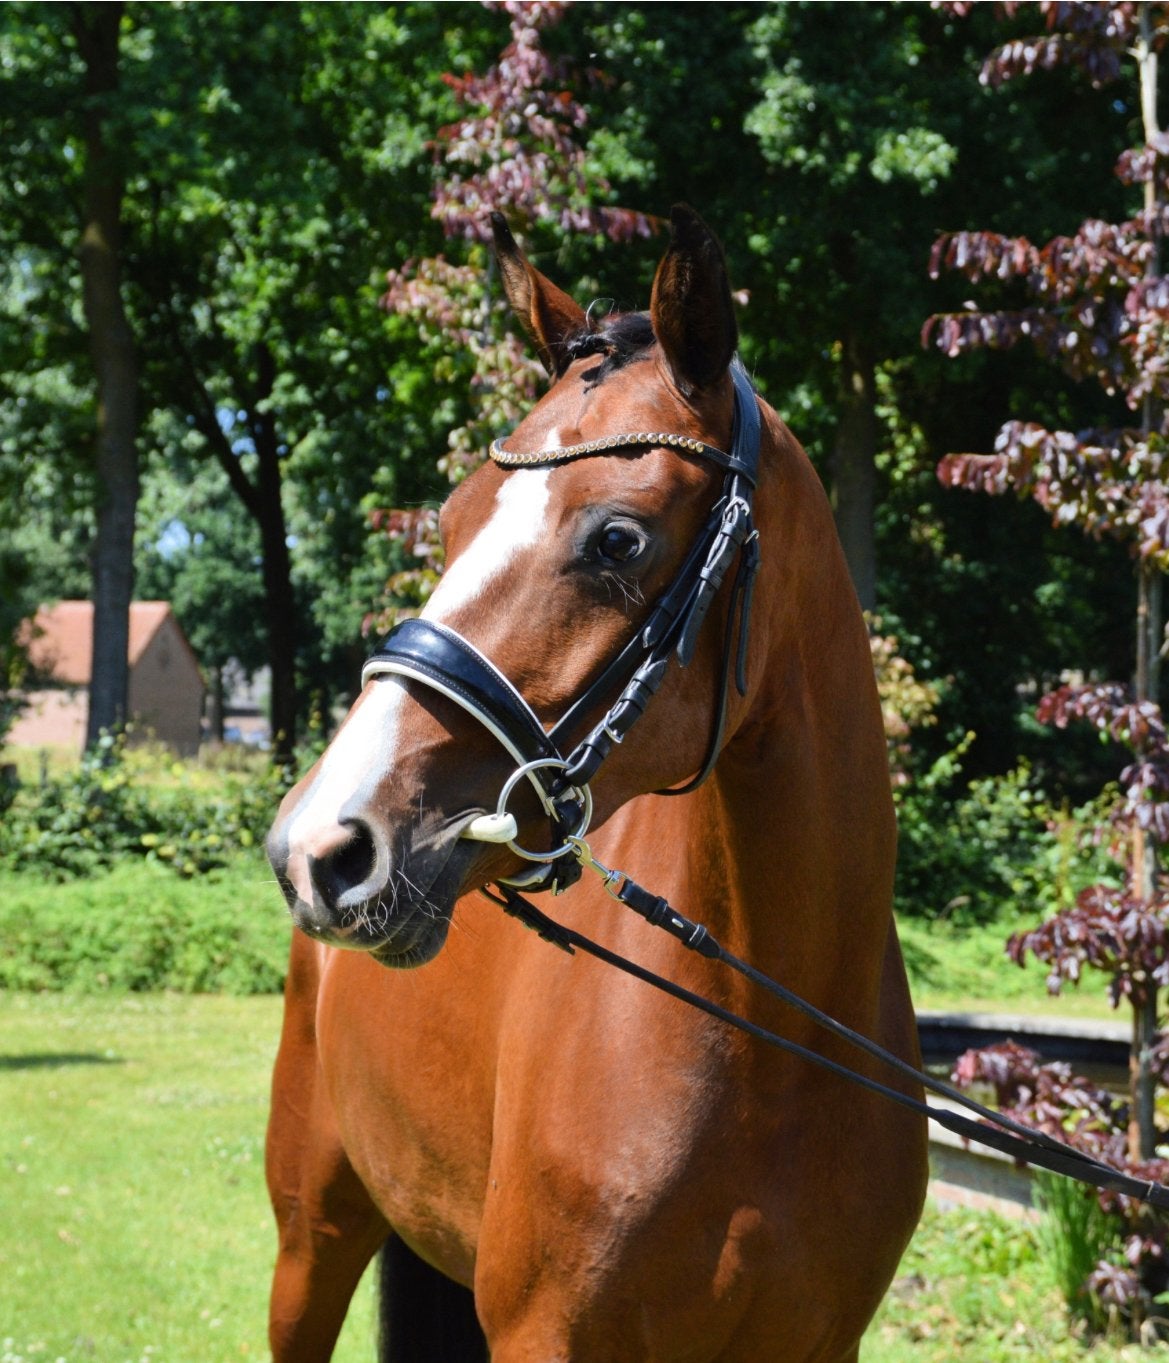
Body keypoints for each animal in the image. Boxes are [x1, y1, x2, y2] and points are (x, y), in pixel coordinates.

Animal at [265, 204, 927, 1363]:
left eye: (616, 536)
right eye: (451, 520)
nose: (321, 848)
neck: (777, 1043)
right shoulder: (546, 1333)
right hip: (312, 1244)